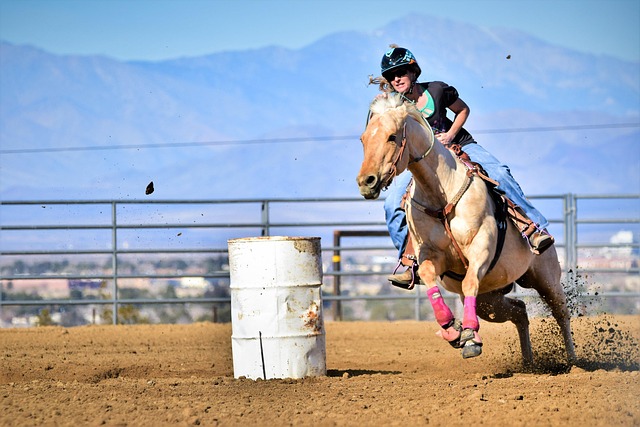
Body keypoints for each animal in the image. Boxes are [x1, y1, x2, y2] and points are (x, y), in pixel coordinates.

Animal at [356, 93, 576, 367]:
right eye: (364, 139)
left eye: (392, 136)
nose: (366, 182)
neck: (441, 195)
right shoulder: (431, 255)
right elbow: (428, 277)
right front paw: (452, 329)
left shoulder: (481, 249)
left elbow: (470, 281)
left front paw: (470, 336)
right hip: (490, 299)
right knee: (519, 312)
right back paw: (528, 362)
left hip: (546, 278)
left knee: (561, 313)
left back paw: (573, 361)